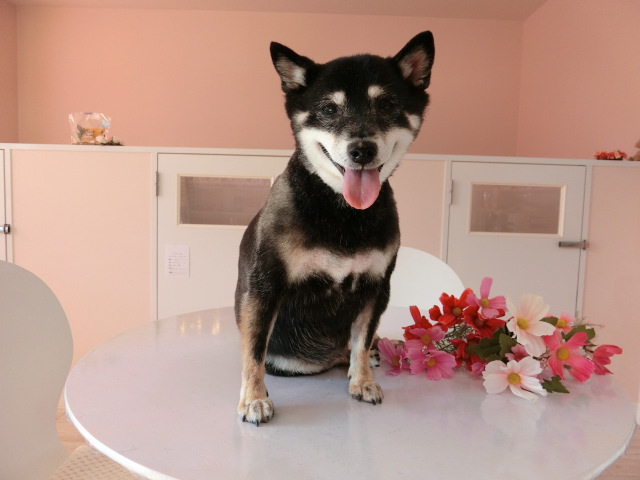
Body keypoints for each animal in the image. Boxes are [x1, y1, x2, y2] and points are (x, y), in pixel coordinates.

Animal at [235, 31, 435, 425]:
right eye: (329, 109)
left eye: (387, 104)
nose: (362, 149)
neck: (343, 211)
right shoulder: (264, 287)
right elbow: (253, 353)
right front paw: (253, 398)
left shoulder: (376, 288)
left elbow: (361, 340)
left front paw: (362, 380)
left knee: (352, 346)